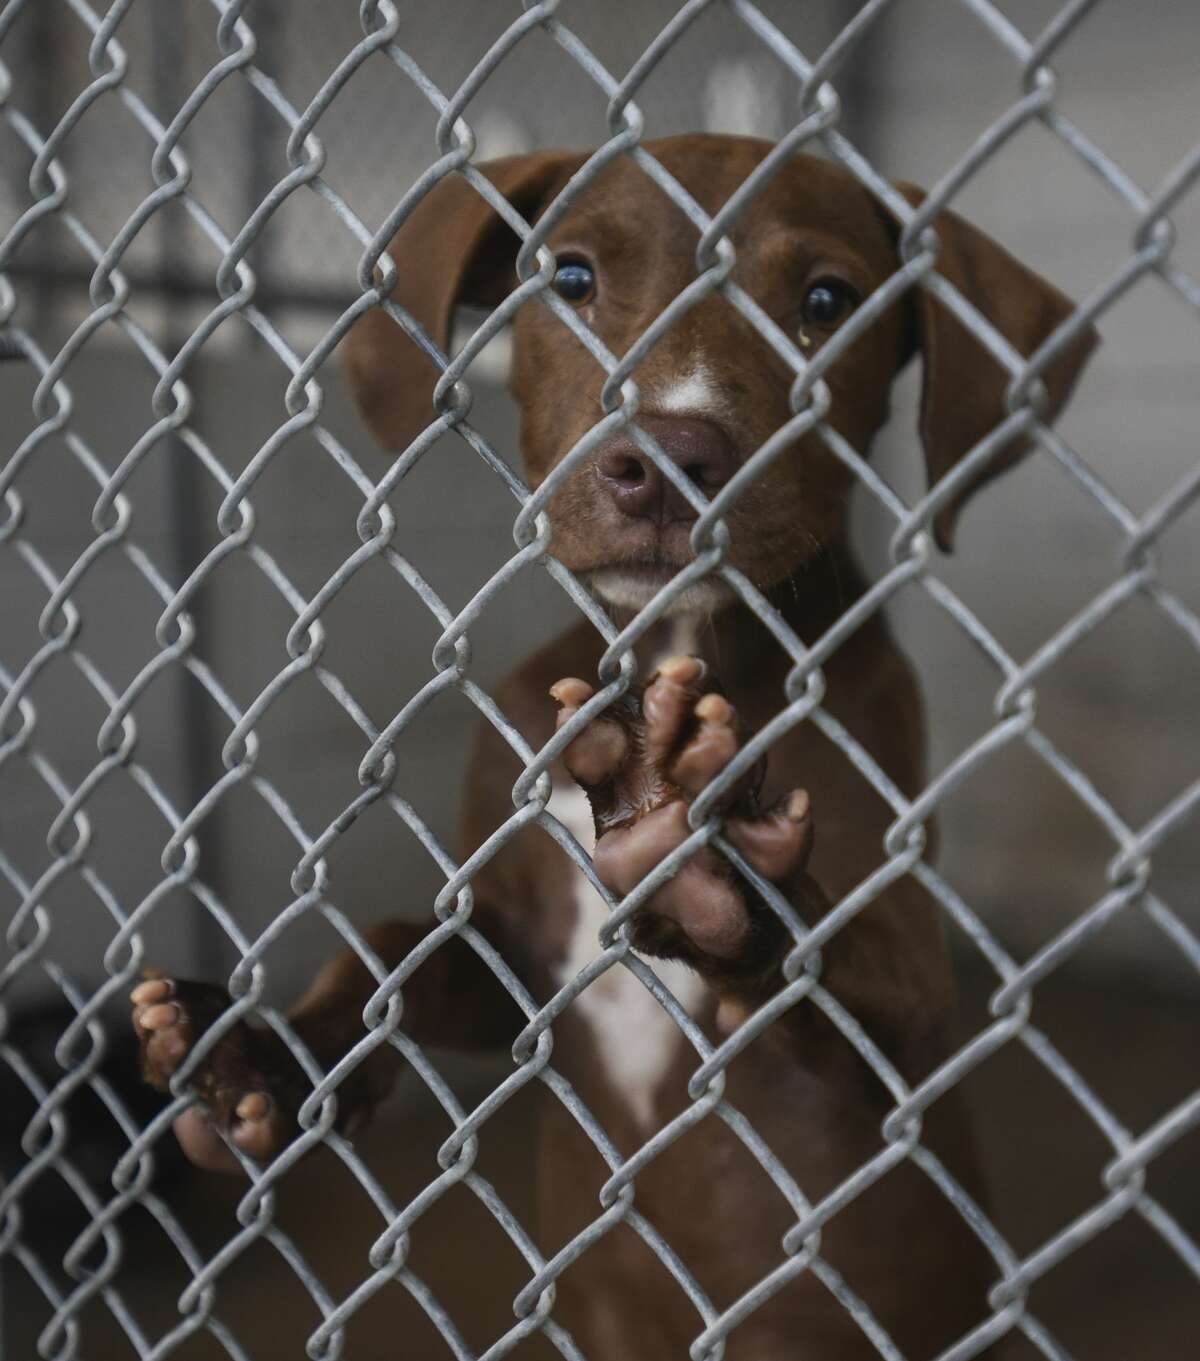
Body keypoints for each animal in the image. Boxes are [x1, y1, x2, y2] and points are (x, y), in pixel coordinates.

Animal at [128, 132, 1093, 1355]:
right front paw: (260, 1051)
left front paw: (717, 879)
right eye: (572, 277)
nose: (669, 456)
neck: (665, 656)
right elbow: (393, 950)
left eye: (828, 303)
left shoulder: (913, 1011)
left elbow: (838, 960)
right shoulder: (512, 947)